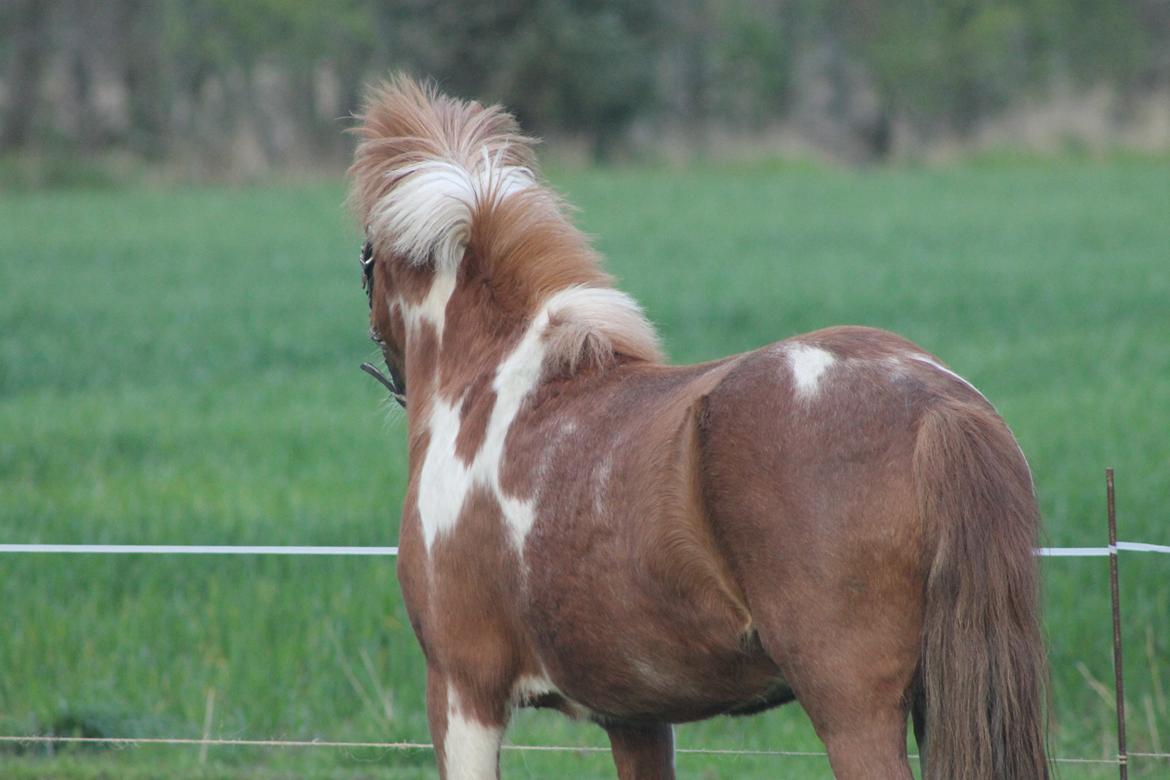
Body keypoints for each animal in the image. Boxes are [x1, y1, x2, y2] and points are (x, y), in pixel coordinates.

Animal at [341, 74, 1048, 780]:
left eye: (366, 256)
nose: (393, 377)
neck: (497, 381)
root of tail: (935, 405)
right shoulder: (634, 713)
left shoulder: (464, 693)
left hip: (854, 709)